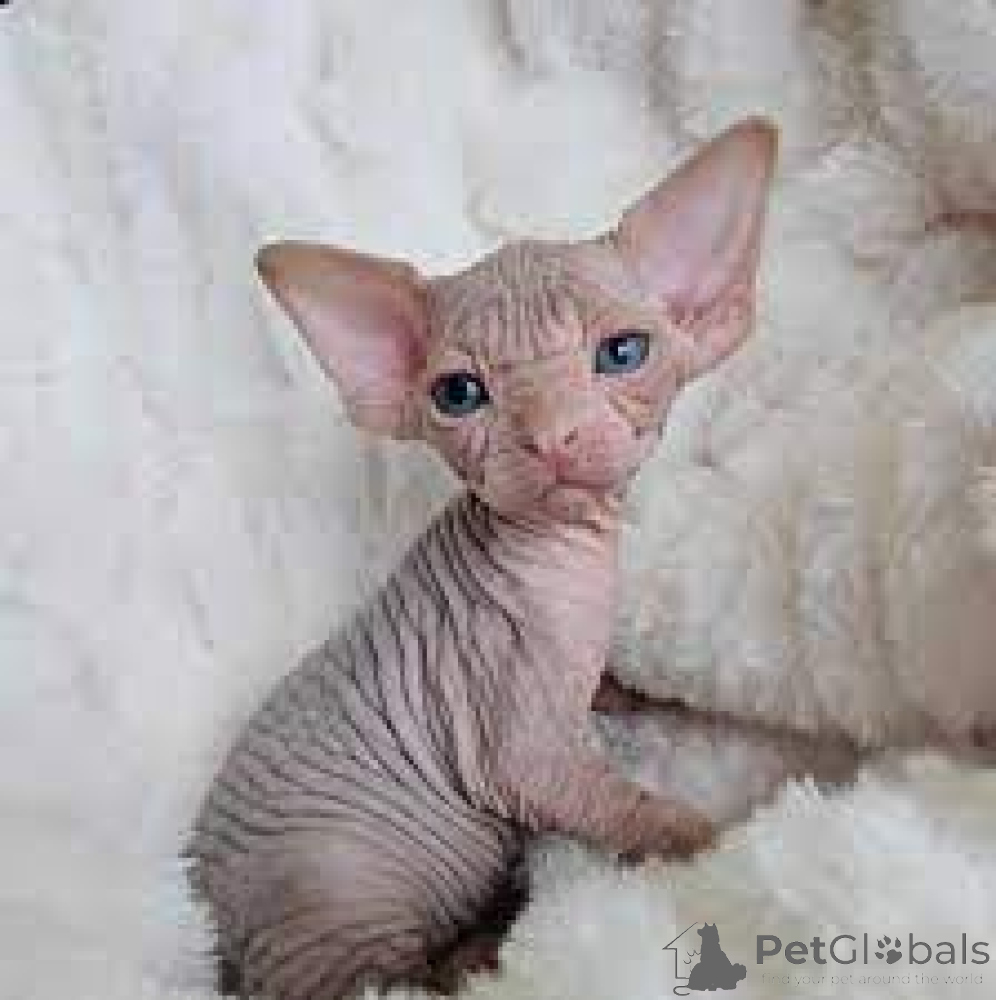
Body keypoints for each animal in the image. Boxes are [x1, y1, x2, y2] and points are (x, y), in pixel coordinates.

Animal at [187, 118, 779, 1000]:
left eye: (624, 352)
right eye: (459, 395)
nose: (553, 438)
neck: (569, 553)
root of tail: (215, 940)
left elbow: (616, 688)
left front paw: (663, 703)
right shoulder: (526, 757)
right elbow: (627, 809)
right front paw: (714, 840)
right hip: (342, 904)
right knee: (405, 982)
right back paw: (493, 942)